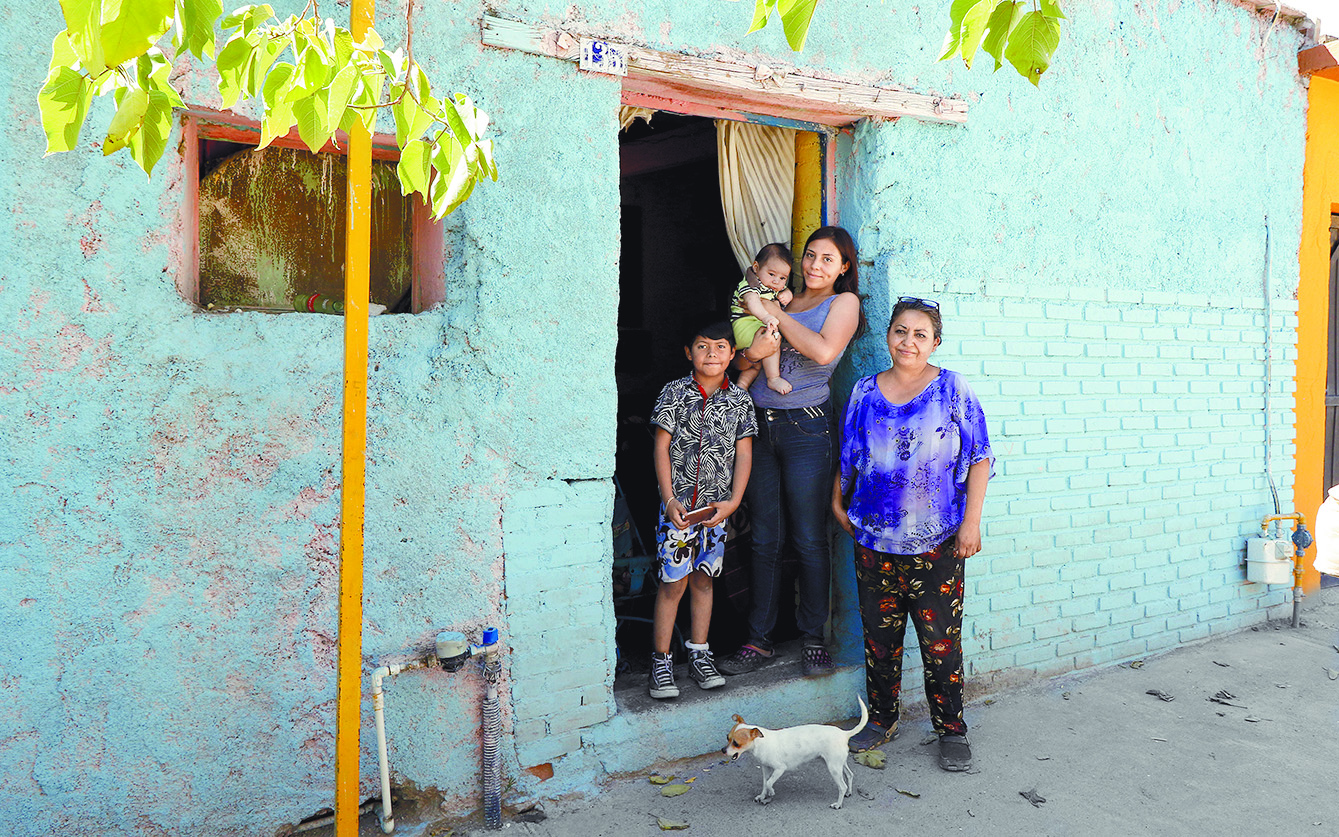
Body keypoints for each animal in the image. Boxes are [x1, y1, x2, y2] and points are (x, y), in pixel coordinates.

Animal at [723, 696, 867, 808]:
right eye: (727, 738)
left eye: (736, 743)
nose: (723, 750)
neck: (761, 742)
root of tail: (844, 733)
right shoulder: (765, 768)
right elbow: (765, 783)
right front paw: (763, 795)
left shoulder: (780, 768)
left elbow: (769, 782)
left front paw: (771, 792)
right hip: (838, 763)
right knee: (850, 775)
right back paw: (849, 792)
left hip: (834, 768)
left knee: (842, 786)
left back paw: (838, 804)